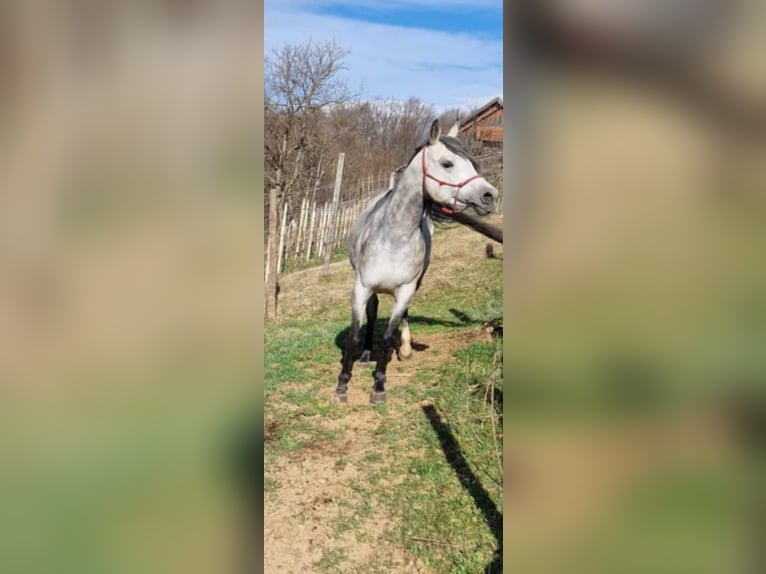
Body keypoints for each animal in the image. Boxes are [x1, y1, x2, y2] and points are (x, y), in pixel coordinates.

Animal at [334, 119, 500, 404]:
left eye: (473, 163)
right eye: (447, 163)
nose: (490, 195)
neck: (394, 238)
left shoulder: (406, 290)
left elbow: (388, 336)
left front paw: (379, 387)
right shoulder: (362, 288)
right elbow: (354, 336)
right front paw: (342, 385)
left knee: (402, 317)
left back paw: (405, 348)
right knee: (373, 313)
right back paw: (366, 355)